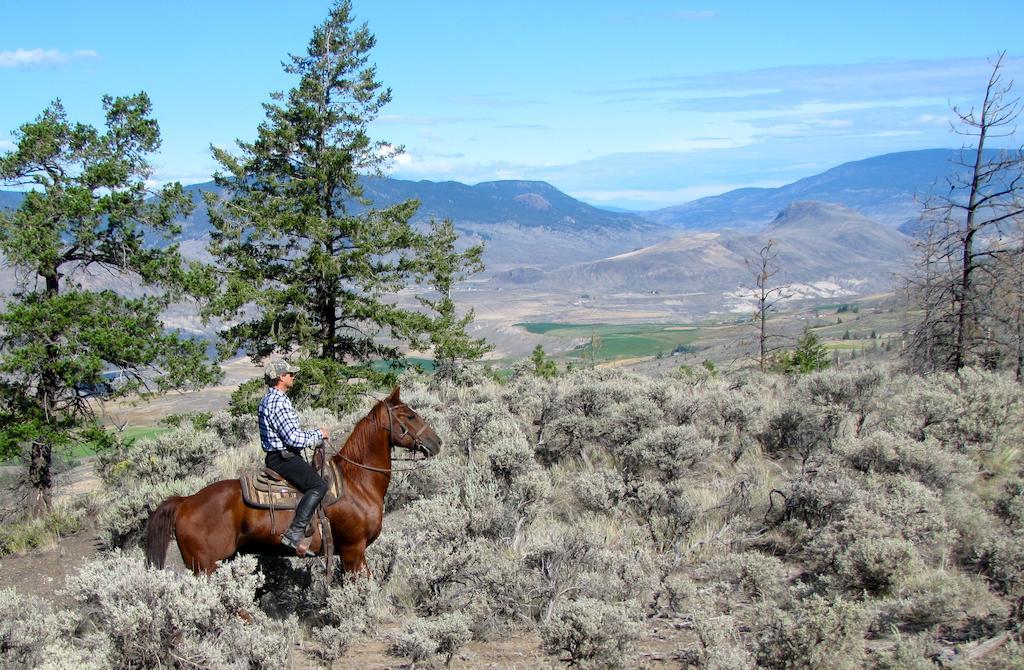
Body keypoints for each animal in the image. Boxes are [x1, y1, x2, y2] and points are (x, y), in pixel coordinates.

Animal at [145, 389, 440, 577]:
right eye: (410, 416)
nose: (437, 442)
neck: (357, 483)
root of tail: (185, 501)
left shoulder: (353, 553)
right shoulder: (353, 550)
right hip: (205, 566)